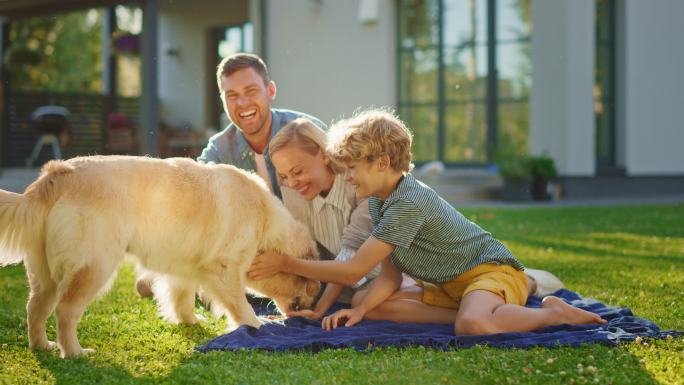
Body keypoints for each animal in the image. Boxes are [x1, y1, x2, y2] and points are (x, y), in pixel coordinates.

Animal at [0, 155, 320, 356]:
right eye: (305, 283)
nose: (310, 306)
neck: (264, 221)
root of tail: (56, 174)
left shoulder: (184, 269)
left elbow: (182, 298)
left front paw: (190, 321)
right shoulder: (224, 268)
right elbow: (241, 306)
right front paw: (257, 328)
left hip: (45, 276)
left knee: (35, 308)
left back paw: (42, 346)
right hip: (95, 266)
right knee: (65, 310)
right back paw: (76, 352)